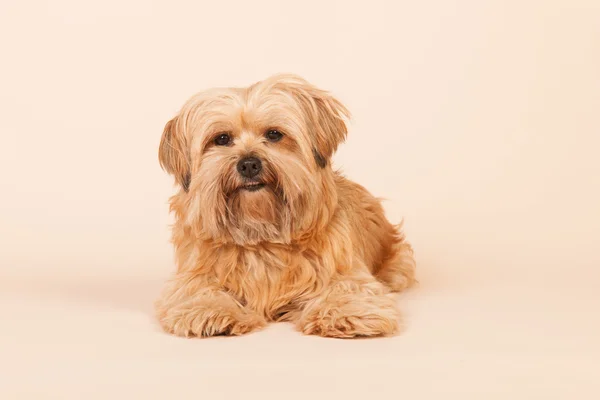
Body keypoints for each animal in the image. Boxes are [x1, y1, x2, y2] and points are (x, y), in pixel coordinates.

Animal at [156, 72, 418, 338]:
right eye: (222, 138)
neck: (262, 236)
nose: (249, 164)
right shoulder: (193, 275)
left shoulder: (345, 271)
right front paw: (211, 310)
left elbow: (347, 288)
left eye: (274, 134)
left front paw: (346, 312)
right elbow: (196, 291)